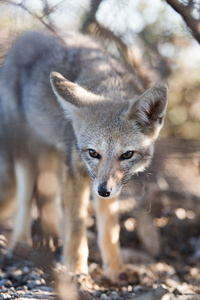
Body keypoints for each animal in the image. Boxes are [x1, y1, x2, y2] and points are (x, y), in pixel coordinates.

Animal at [0, 30, 168, 284]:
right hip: (28, 152)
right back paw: (20, 243)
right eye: (93, 153)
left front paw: (115, 269)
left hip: (53, 156)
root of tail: (27, 36)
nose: (103, 191)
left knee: (48, 201)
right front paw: (75, 269)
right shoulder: (77, 172)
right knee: (25, 199)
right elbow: (76, 224)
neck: (109, 83)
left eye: (127, 155)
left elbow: (109, 231)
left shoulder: (104, 183)